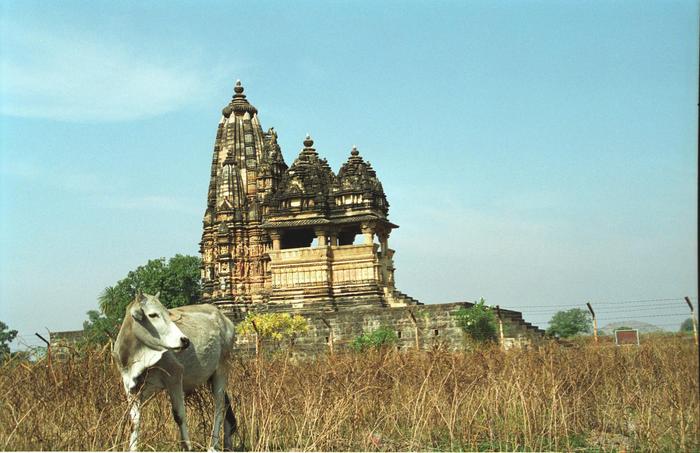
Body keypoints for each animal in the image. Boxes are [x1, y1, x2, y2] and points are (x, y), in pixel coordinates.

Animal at [113, 292, 238, 450]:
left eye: (167, 313)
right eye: (152, 315)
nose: (184, 340)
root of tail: (224, 319)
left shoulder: (175, 376)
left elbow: (179, 415)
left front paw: (187, 447)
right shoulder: (130, 386)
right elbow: (134, 422)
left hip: (222, 368)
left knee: (219, 407)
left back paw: (213, 445)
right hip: (211, 377)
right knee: (226, 405)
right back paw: (227, 443)